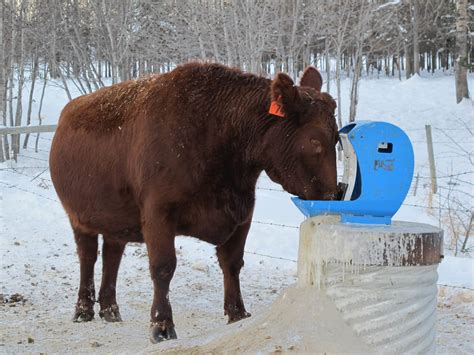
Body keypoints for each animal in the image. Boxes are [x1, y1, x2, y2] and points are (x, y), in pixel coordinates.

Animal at [50, 62, 338, 344]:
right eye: (314, 140)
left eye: (336, 138)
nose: (332, 195)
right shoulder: (158, 213)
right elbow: (163, 266)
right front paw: (162, 324)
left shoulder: (243, 214)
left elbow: (232, 263)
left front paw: (237, 313)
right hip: (78, 217)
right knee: (88, 256)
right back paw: (83, 309)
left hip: (116, 218)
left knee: (112, 254)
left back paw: (110, 309)